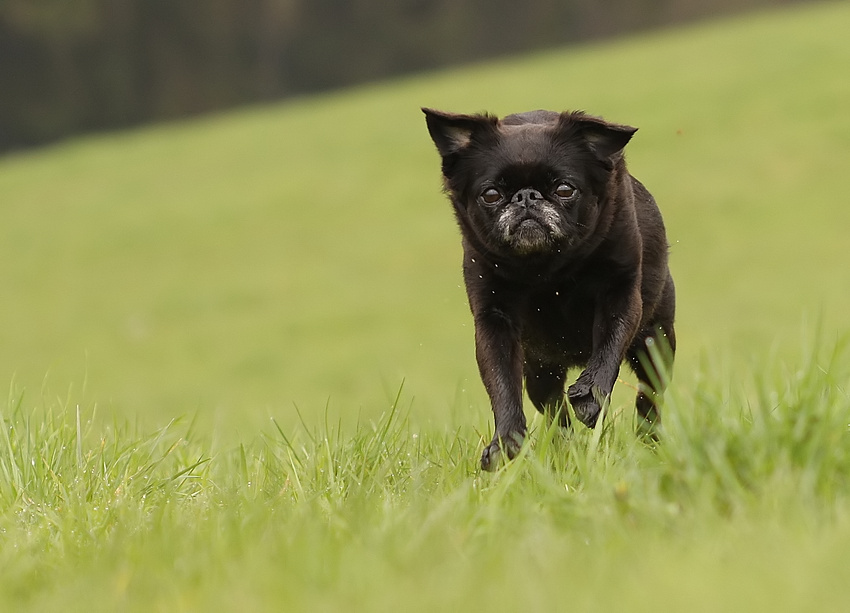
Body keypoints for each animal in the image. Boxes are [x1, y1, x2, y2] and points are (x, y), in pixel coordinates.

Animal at [424, 107, 676, 468]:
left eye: (565, 189)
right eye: (491, 195)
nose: (527, 197)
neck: (547, 268)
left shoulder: (621, 294)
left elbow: (608, 347)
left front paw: (590, 395)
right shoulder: (494, 321)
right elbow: (501, 383)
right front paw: (505, 442)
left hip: (656, 342)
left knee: (649, 393)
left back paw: (647, 436)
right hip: (540, 369)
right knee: (553, 409)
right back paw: (565, 445)